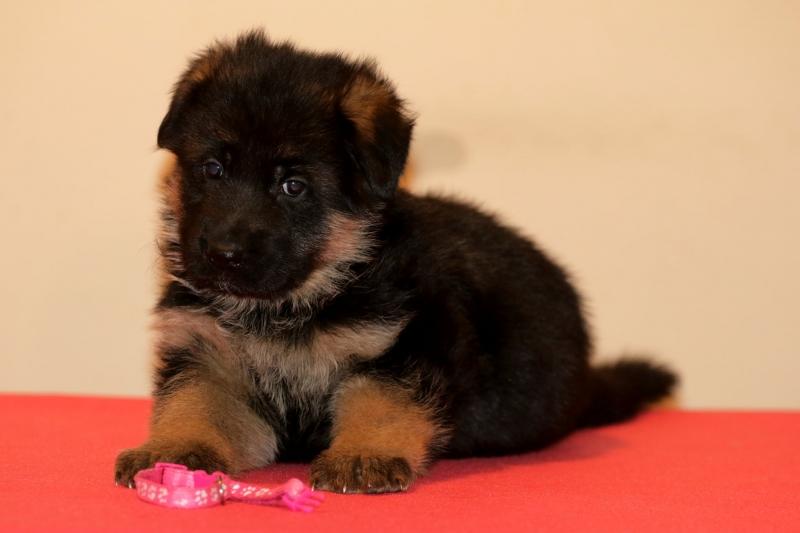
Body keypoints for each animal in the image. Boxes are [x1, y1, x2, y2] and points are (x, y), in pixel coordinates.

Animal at [114, 30, 676, 493]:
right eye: (212, 168)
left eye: (293, 186)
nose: (223, 254)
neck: (304, 298)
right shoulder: (208, 353)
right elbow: (197, 402)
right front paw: (174, 449)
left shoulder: (404, 345)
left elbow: (380, 403)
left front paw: (365, 455)